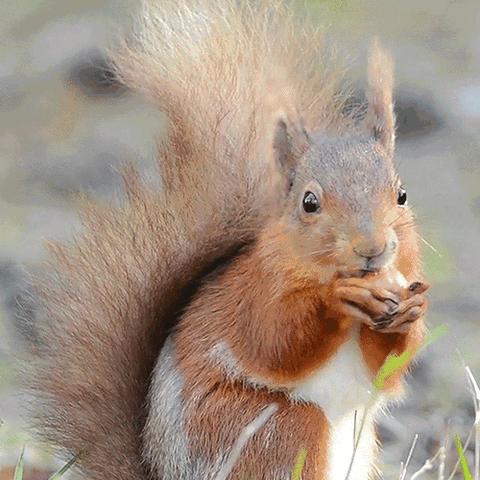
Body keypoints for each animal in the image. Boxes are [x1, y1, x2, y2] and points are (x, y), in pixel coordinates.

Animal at [26, 1, 428, 478]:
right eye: (309, 202)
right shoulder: (257, 290)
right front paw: (336, 296)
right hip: (270, 430)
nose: (372, 249)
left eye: (402, 195)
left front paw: (413, 314)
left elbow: (385, 369)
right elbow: (276, 342)